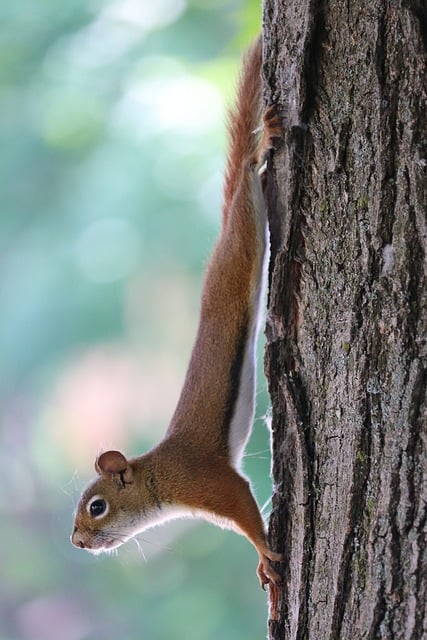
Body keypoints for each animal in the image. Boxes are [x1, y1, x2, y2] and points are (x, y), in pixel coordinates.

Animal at [70, 37, 284, 592]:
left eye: (97, 506)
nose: (77, 542)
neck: (158, 478)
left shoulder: (210, 483)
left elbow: (246, 511)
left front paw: (264, 554)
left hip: (243, 237)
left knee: (247, 179)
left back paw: (262, 146)